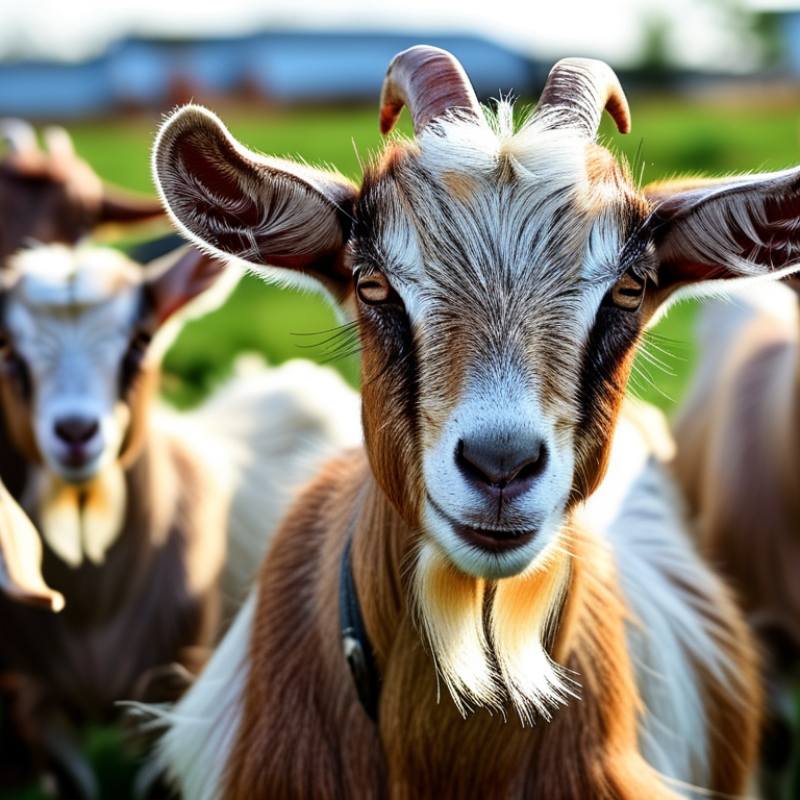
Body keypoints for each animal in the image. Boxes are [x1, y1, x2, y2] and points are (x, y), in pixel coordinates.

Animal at [0, 242, 360, 795]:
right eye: (10, 354)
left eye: (139, 342)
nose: (76, 432)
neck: (92, 608)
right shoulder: (41, 705)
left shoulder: (174, 688)